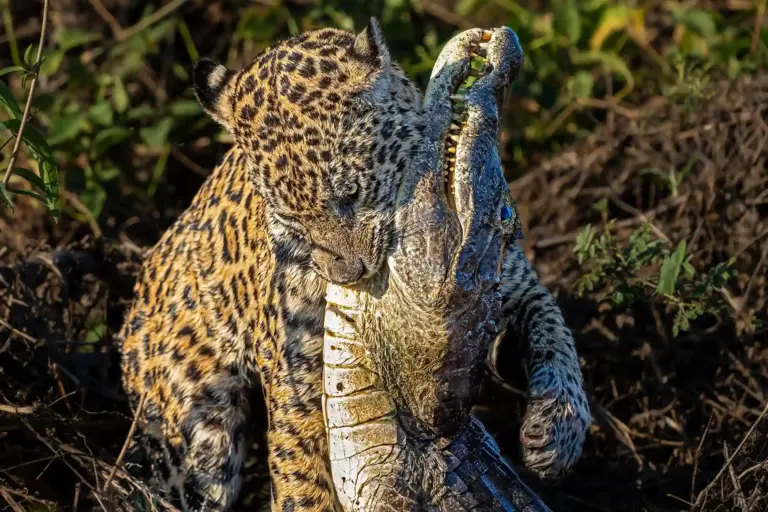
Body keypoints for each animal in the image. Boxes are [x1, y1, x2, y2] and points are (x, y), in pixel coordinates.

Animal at [118, 18, 591, 512]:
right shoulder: (296, 374)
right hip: (197, 435)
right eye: (289, 217)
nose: (346, 274)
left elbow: (554, 329)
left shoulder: (512, 277)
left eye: (351, 194)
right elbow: (301, 471)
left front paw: (557, 432)